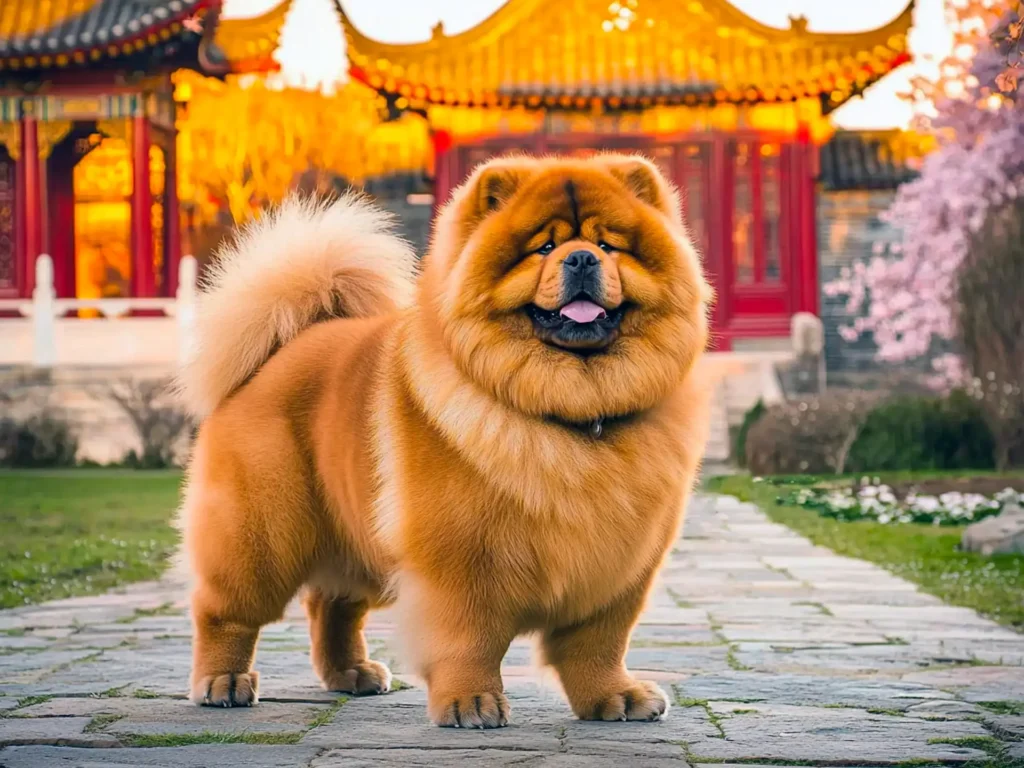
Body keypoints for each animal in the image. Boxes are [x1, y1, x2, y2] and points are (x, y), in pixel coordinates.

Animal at [178, 153, 712, 729]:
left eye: (610, 246)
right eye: (543, 248)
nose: (582, 258)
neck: (574, 412)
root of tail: (284, 345)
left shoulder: (619, 565)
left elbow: (599, 645)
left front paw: (614, 697)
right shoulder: (461, 560)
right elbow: (469, 640)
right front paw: (470, 702)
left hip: (356, 538)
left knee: (332, 604)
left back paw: (353, 674)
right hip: (262, 536)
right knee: (227, 611)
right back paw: (223, 682)